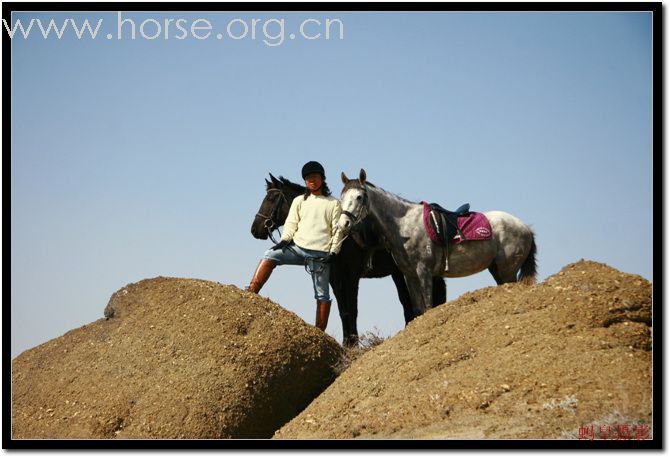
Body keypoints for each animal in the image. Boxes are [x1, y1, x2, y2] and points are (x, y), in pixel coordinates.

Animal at [251, 174, 446, 346]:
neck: (346, 239)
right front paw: (348, 342)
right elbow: (343, 310)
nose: (255, 229)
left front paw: (353, 343)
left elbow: (352, 309)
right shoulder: (335, 278)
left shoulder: (351, 276)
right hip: (399, 274)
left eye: (271, 198)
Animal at [338, 169, 540, 318]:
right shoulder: (409, 275)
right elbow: (418, 310)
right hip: (498, 270)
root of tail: (526, 228)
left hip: (508, 270)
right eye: (342, 197)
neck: (404, 226)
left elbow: (428, 306)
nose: (343, 224)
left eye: (359, 197)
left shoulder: (424, 272)